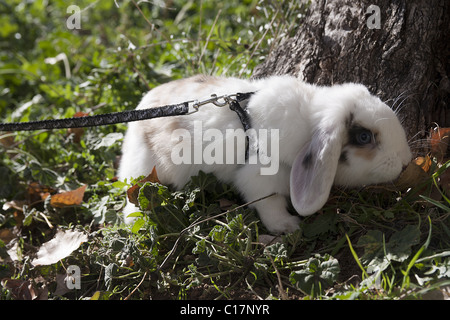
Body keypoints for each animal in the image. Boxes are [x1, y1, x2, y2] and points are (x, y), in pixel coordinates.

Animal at [118, 75, 414, 235]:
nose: (405, 162)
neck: (307, 124)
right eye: (364, 137)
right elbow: (269, 202)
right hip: (143, 169)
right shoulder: (259, 177)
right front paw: (287, 226)